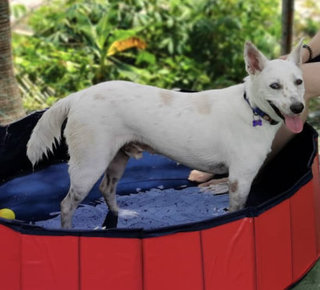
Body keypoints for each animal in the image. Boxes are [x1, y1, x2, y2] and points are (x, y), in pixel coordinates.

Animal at [26, 40, 304, 228]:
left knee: (107, 188)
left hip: (117, 158)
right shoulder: (239, 179)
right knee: (66, 205)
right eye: (274, 86)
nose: (298, 108)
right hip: (89, 165)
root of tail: (79, 95)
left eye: (299, 82)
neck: (252, 107)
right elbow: (236, 210)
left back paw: (118, 218)